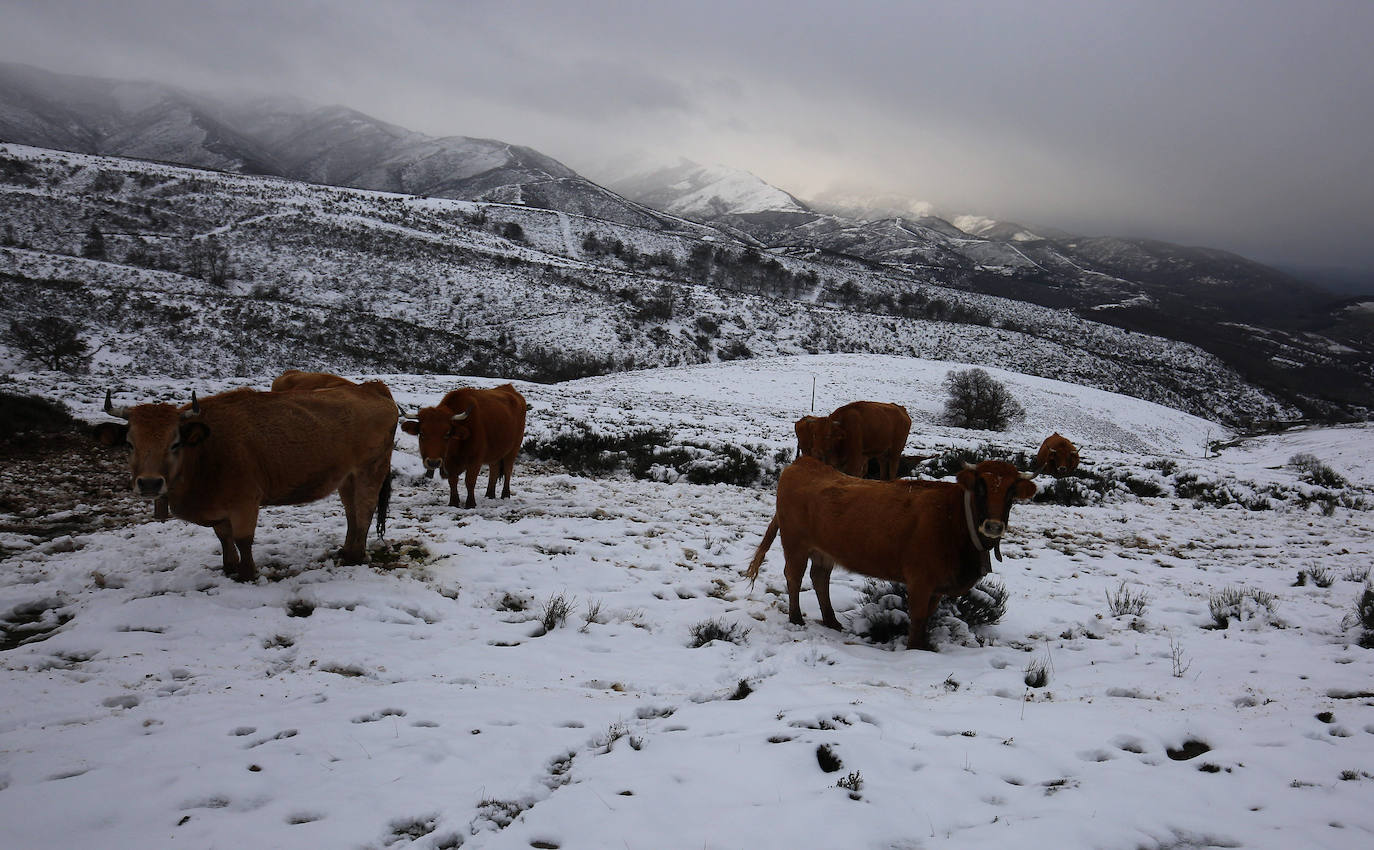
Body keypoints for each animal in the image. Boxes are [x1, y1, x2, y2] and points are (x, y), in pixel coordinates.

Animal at [93, 381, 398, 582]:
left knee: (364, 510)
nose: (149, 484)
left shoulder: (245, 502)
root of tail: (370, 388)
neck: (206, 452)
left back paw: (355, 555)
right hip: (347, 478)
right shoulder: (219, 508)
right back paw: (346, 550)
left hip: (370, 470)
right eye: (130, 444)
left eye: (175, 443)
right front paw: (229, 567)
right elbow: (223, 537)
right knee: (351, 513)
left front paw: (247, 573)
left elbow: (243, 539)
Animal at [747, 458, 1033, 650]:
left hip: (823, 551)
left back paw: (831, 621)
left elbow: (927, 616)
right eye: (981, 487)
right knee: (794, 577)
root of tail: (803, 463)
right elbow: (917, 616)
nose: (993, 526)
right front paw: (915, 649)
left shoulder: (937, 586)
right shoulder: (920, 580)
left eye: (1011, 492)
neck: (954, 518)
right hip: (795, 544)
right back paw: (796, 618)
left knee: (819, 578)